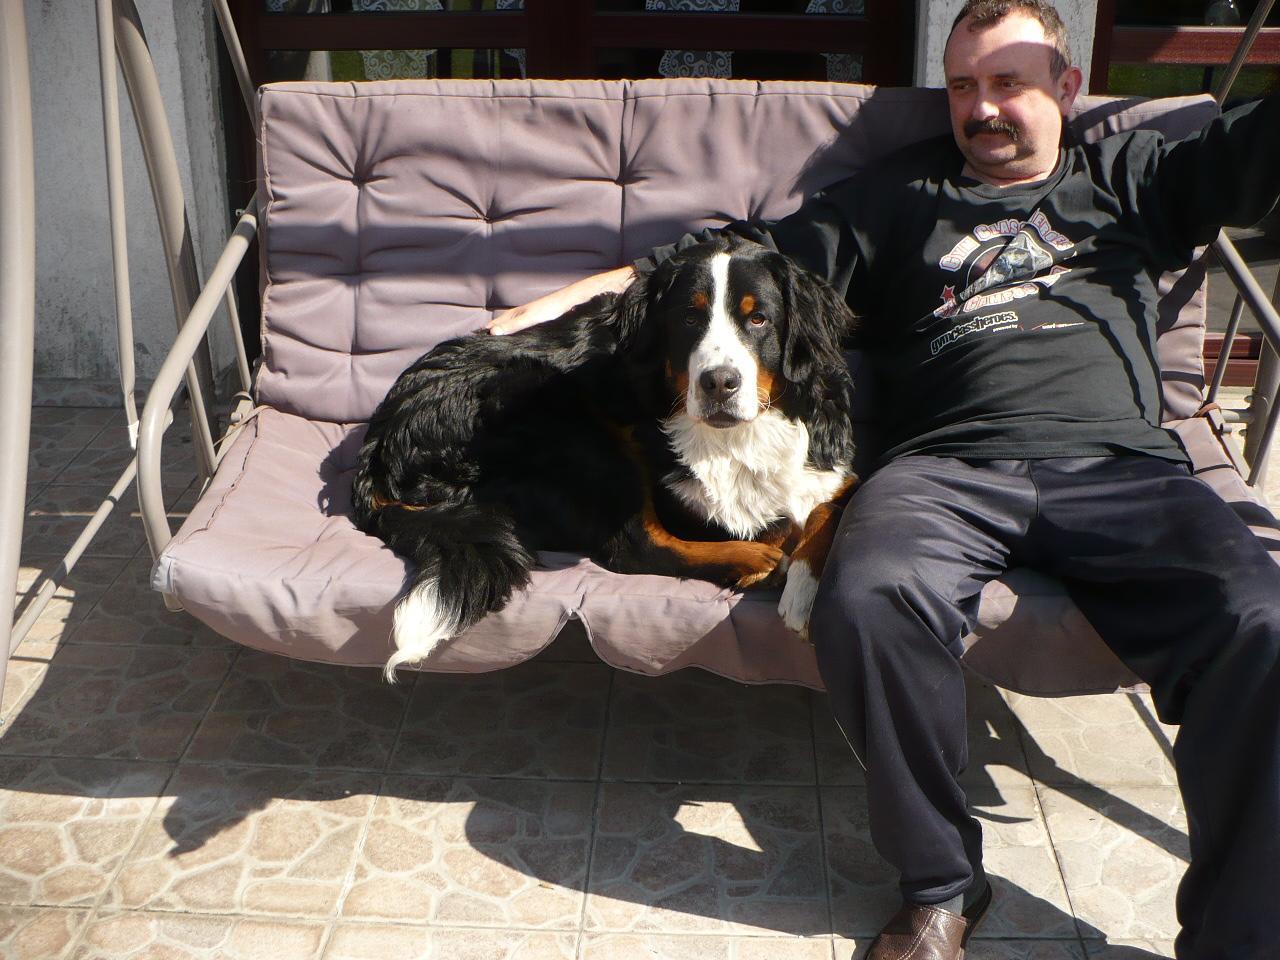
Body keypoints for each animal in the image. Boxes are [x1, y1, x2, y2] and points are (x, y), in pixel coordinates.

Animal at [351, 235, 859, 682]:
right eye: (688, 319)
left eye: (758, 320)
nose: (718, 382)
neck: (741, 435)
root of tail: (380, 444)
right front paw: (787, 569)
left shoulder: (832, 472)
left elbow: (831, 507)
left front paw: (805, 582)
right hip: (571, 425)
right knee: (635, 544)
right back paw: (758, 560)